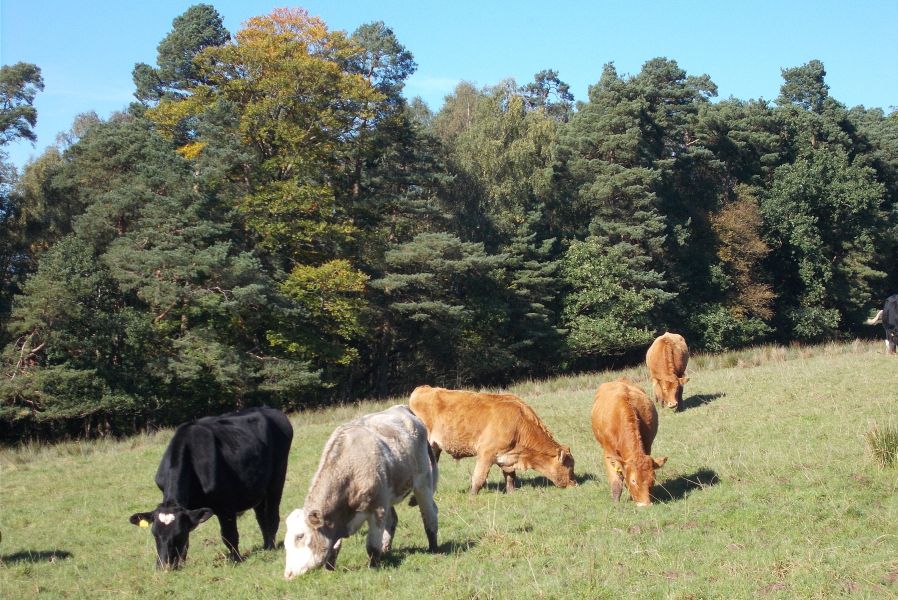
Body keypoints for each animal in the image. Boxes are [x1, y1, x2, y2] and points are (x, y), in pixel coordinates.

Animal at [128, 406, 290, 568]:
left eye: (178, 533)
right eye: (155, 534)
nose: (165, 565)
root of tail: (266, 408)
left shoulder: (225, 506)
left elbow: (229, 535)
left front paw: (236, 560)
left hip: (277, 480)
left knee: (272, 515)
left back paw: (271, 547)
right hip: (258, 488)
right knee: (261, 516)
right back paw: (266, 546)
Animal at [284, 406, 438, 580]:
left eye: (300, 536)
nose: (288, 574)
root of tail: (403, 408)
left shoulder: (377, 509)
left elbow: (372, 545)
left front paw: (373, 566)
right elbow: (334, 546)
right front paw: (329, 568)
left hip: (423, 483)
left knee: (429, 514)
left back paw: (433, 547)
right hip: (389, 495)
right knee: (393, 521)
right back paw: (386, 550)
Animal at [406, 386, 576, 494]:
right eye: (569, 467)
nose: (574, 484)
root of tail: (423, 389)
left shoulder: (506, 455)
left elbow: (510, 476)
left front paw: (511, 493)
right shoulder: (486, 453)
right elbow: (479, 478)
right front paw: (472, 497)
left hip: (434, 448)